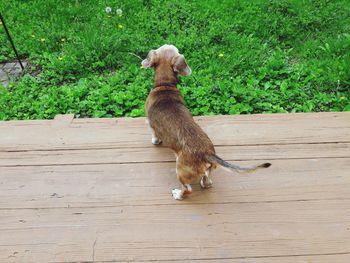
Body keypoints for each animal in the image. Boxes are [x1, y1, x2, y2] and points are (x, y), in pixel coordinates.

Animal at [142, 44, 270, 200]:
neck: (165, 85)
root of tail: (207, 153)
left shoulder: (150, 123)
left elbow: (154, 134)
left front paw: (155, 141)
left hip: (181, 172)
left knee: (188, 189)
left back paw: (178, 194)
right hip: (208, 172)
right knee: (206, 182)